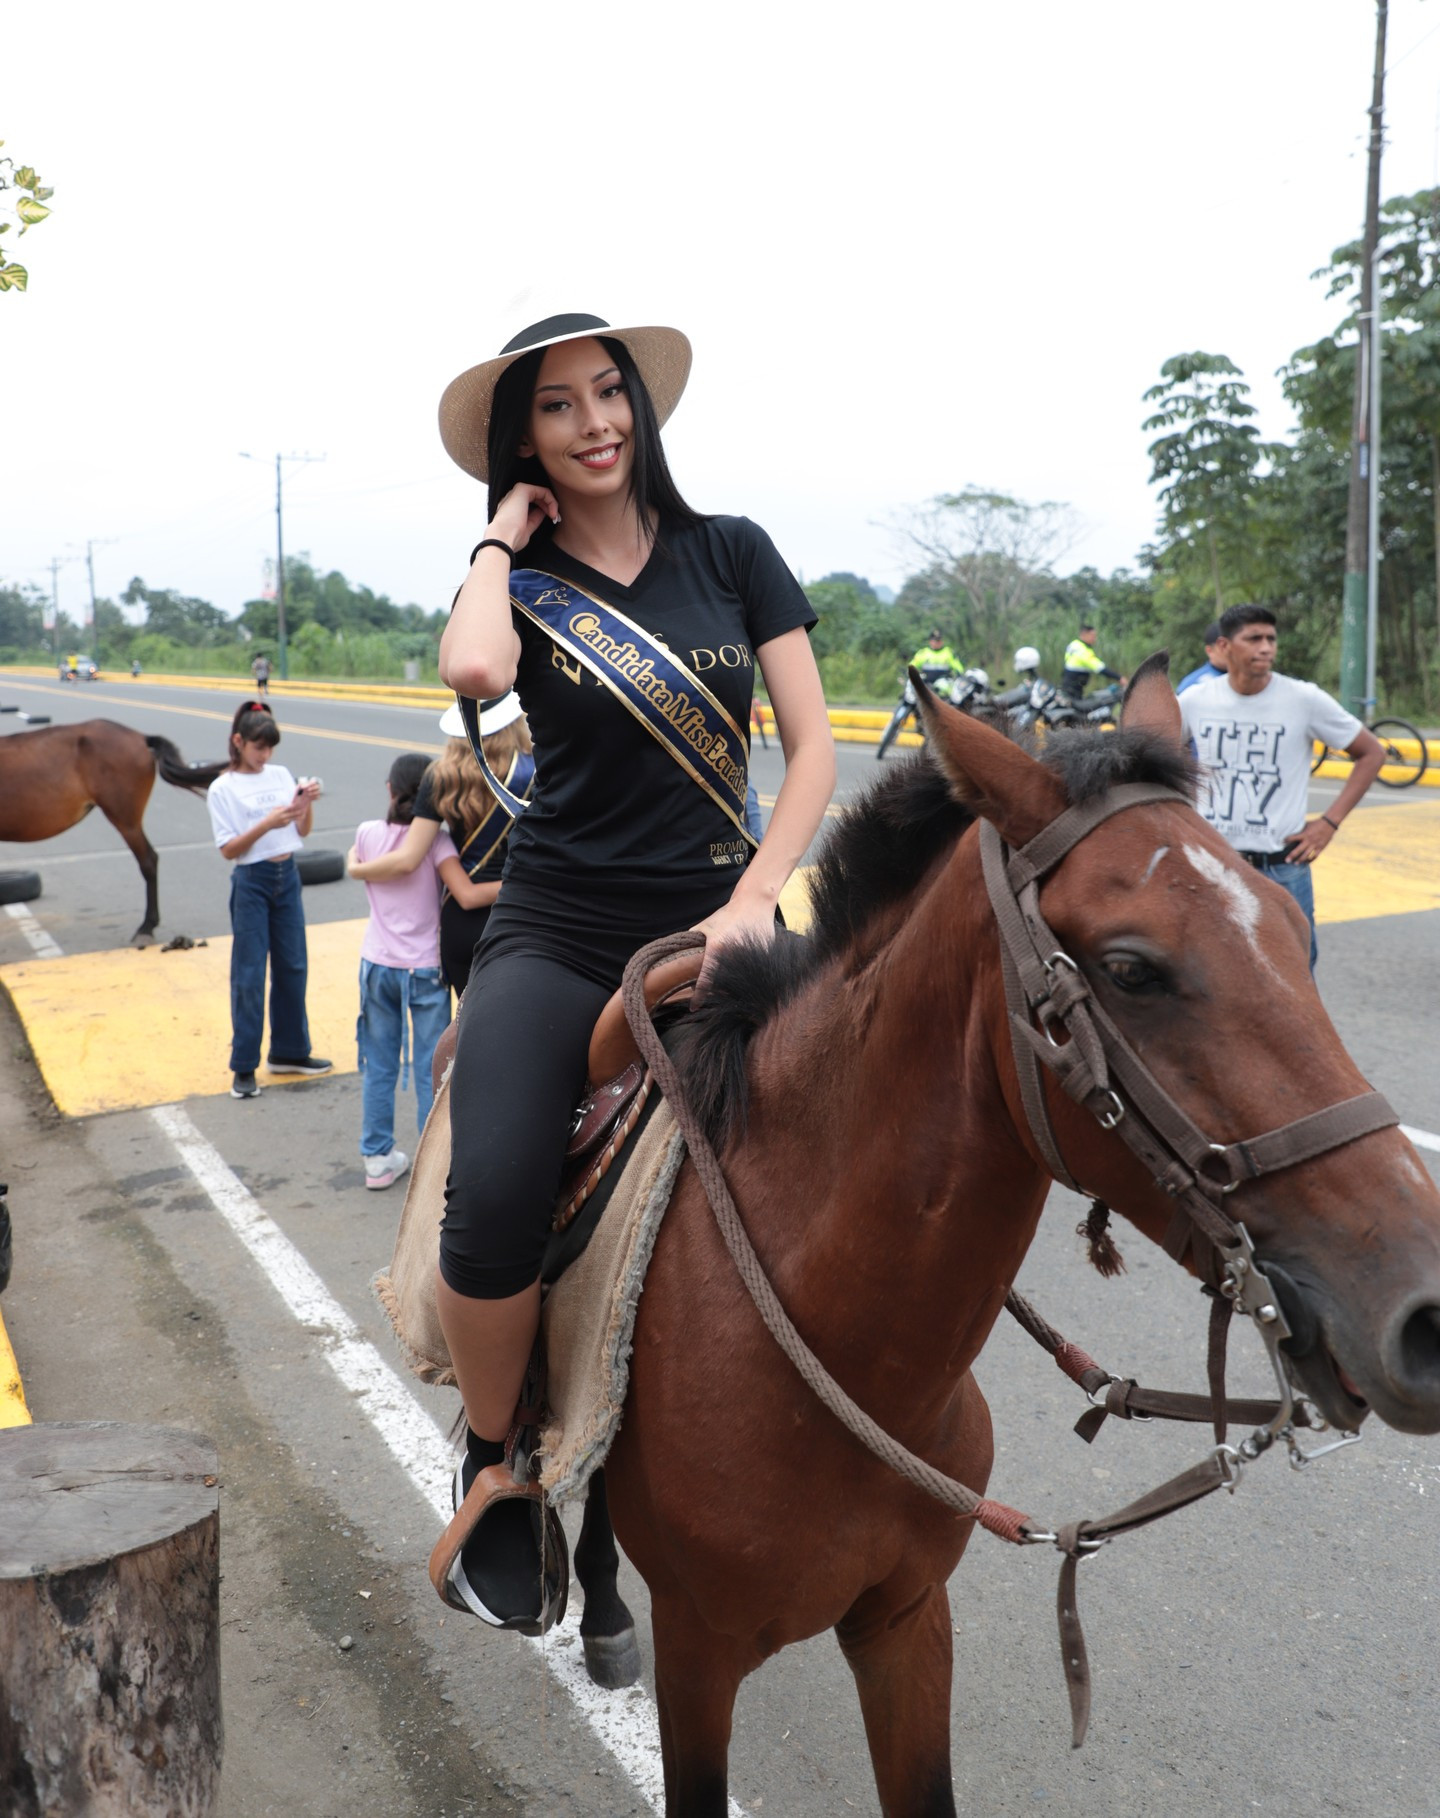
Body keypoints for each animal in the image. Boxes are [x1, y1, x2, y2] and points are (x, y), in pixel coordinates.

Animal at [552, 661, 1440, 1810]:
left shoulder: (906, 1623)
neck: (840, 1356)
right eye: (1133, 969)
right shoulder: (700, 1654)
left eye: (1295, 932)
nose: (1421, 1315)